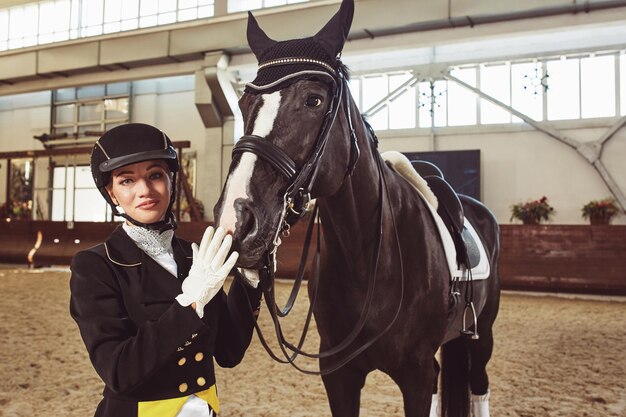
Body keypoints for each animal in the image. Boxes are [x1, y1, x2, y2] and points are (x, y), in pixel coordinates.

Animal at [212, 1, 500, 414]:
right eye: (244, 102)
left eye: (314, 99)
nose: (236, 221)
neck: (369, 259)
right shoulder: (340, 377)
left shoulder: (416, 377)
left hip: (482, 334)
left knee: (479, 386)